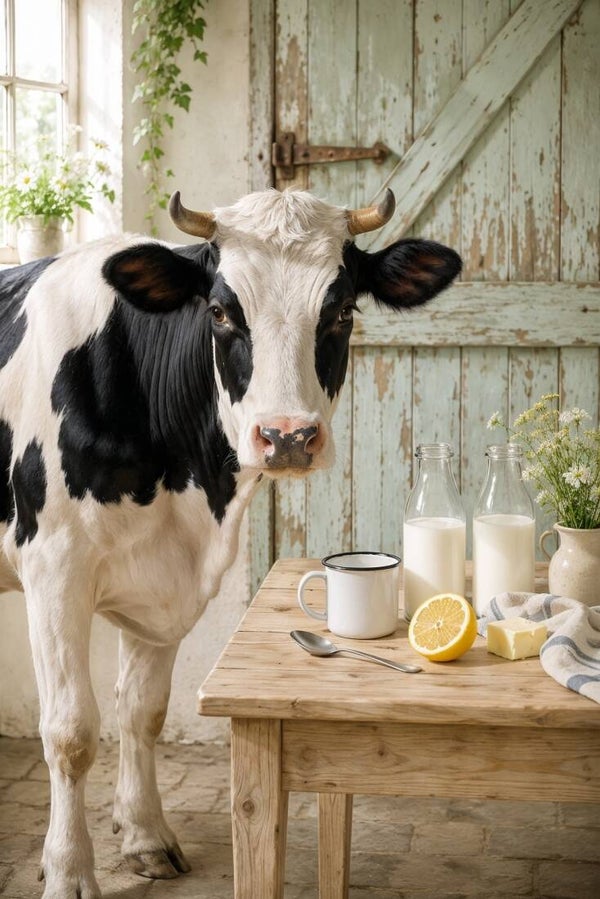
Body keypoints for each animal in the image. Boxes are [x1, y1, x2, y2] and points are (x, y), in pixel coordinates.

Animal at [0, 186, 461, 897]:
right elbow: (71, 733)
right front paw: (69, 871)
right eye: (218, 311)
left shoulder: (168, 575)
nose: (288, 436)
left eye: (342, 310)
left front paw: (145, 836)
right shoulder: (53, 568)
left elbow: (142, 709)